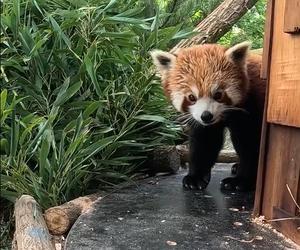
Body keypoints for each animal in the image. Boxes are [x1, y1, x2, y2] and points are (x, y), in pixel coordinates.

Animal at [151, 42, 266, 190]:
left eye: (218, 94)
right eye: (191, 97)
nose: (206, 116)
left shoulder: (252, 106)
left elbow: (251, 144)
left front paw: (241, 180)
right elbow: (205, 142)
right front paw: (196, 177)